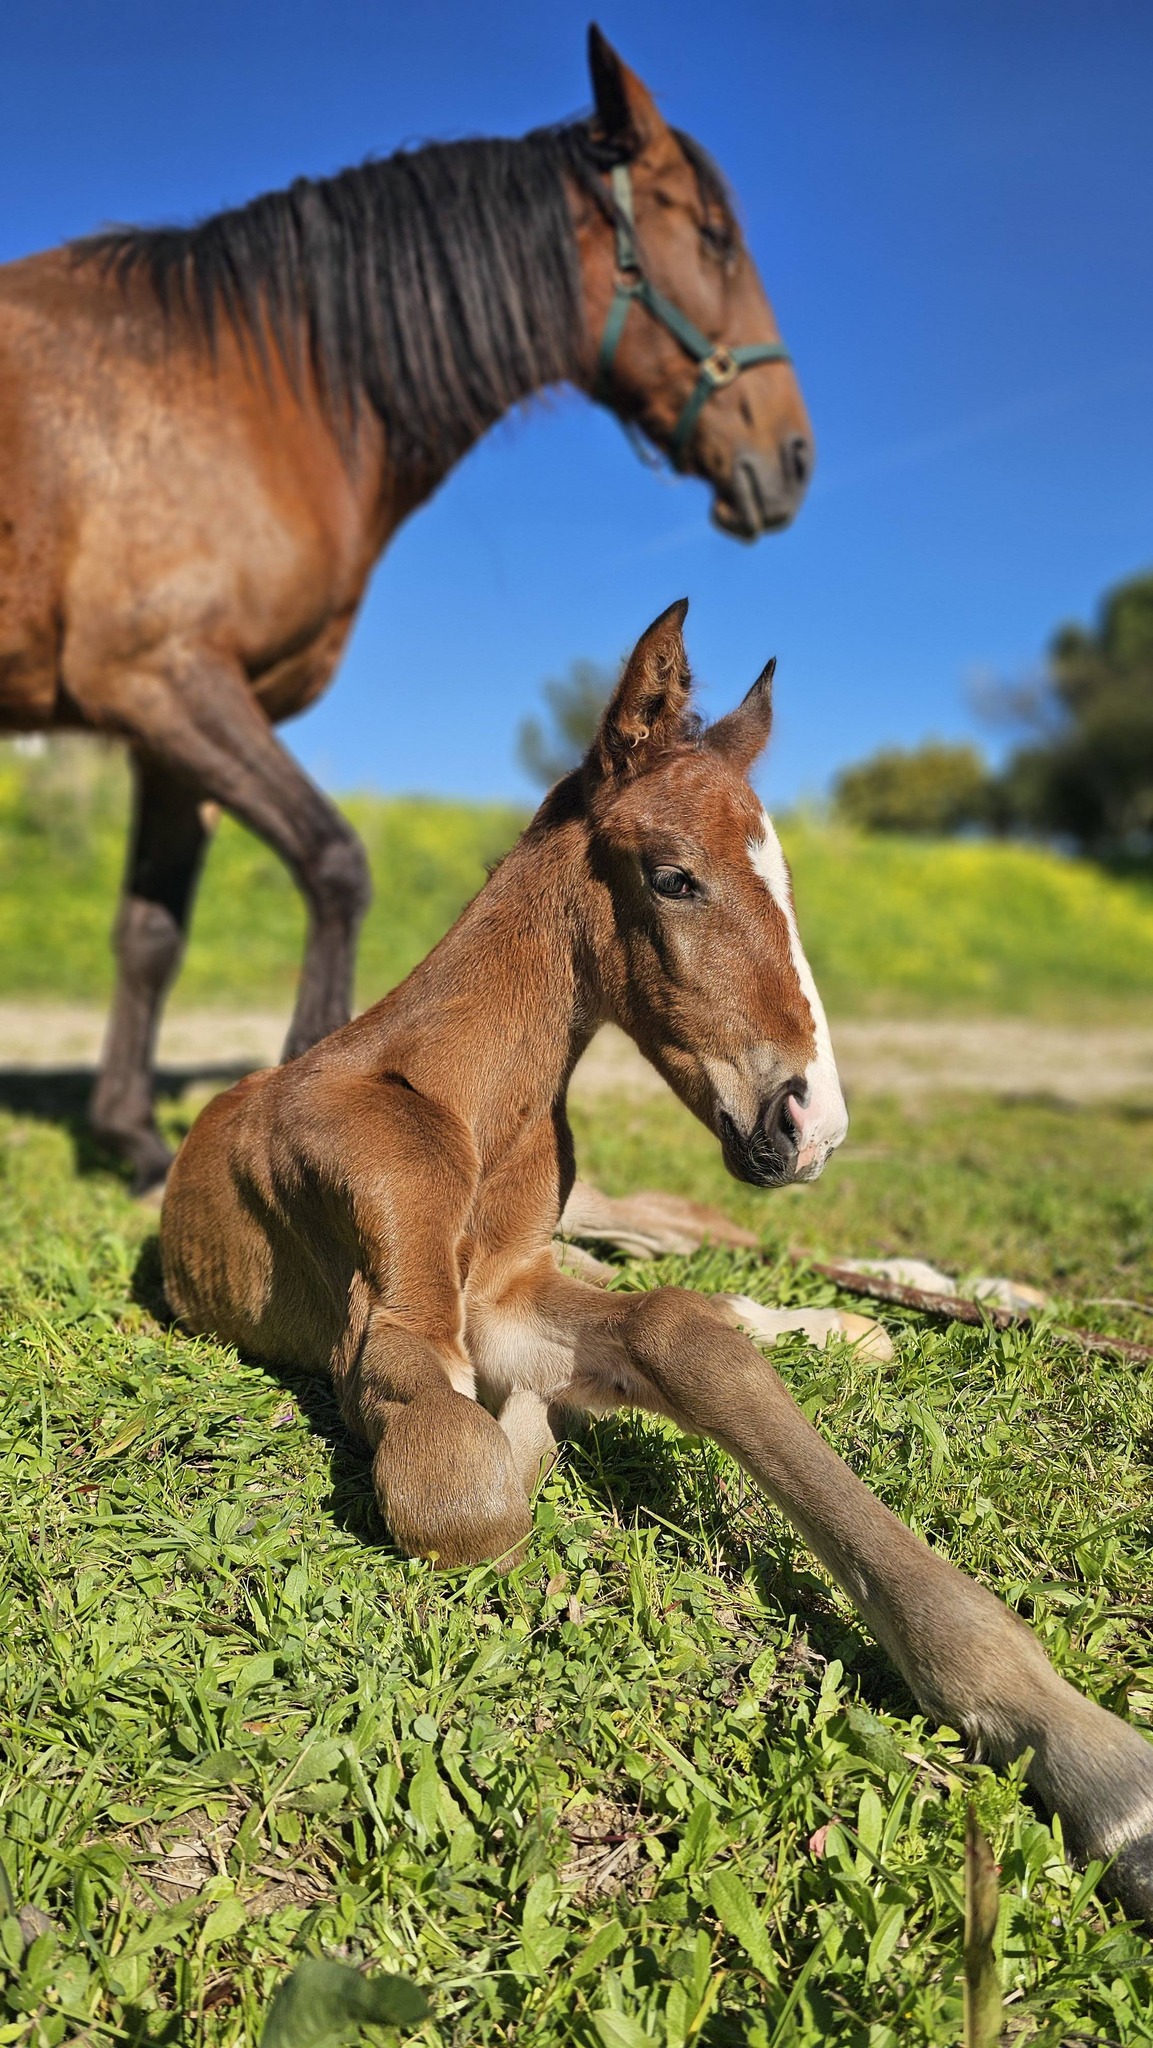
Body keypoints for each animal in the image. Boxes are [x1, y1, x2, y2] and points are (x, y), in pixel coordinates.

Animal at [0, 27, 812, 1227]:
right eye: (709, 236)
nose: (791, 457)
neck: (253, 389)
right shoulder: (164, 680)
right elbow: (334, 864)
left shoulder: (167, 726)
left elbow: (150, 933)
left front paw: (133, 1139)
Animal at [160, 601, 1153, 1924]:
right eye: (674, 876)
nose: (810, 1118)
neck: (463, 1097)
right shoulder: (413, 1330)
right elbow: (490, 1477)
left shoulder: (511, 1285)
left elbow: (678, 1333)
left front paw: (1083, 1743)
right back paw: (867, 1323)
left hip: (626, 1205)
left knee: (694, 1235)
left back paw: (985, 1300)